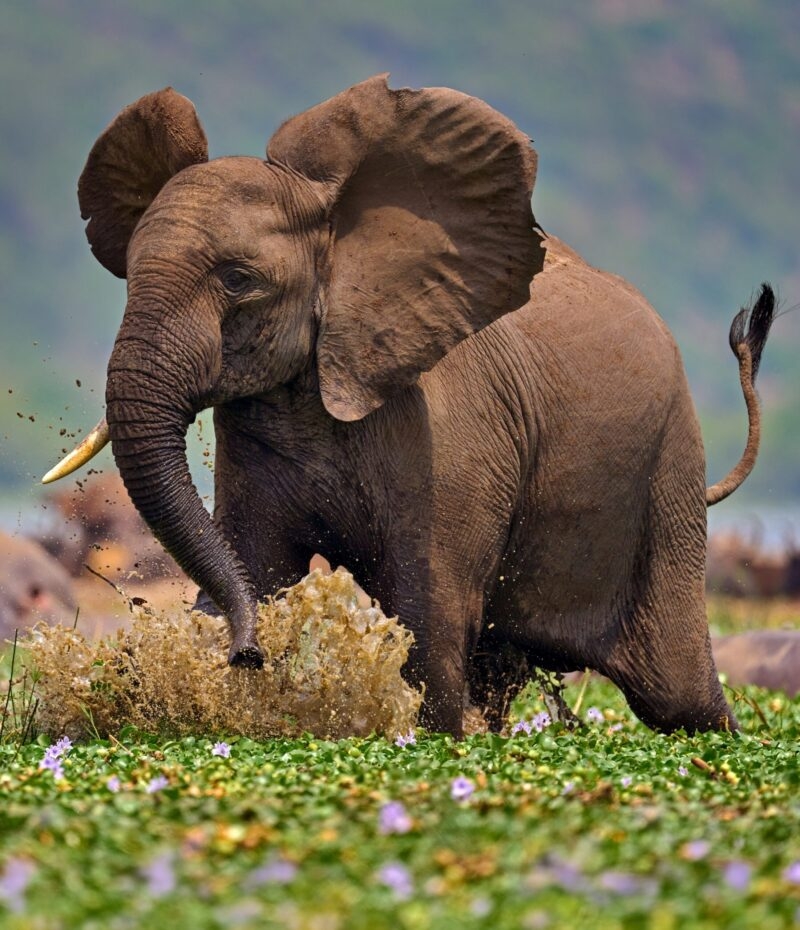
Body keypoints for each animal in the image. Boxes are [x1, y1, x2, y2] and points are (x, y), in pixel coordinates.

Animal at [45, 75, 775, 737]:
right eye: (130, 272)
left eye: (238, 281)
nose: (247, 656)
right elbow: (254, 561)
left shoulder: (451, 427)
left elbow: (431, 604)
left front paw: (439, 736)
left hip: (667, 471)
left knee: (676, 695)